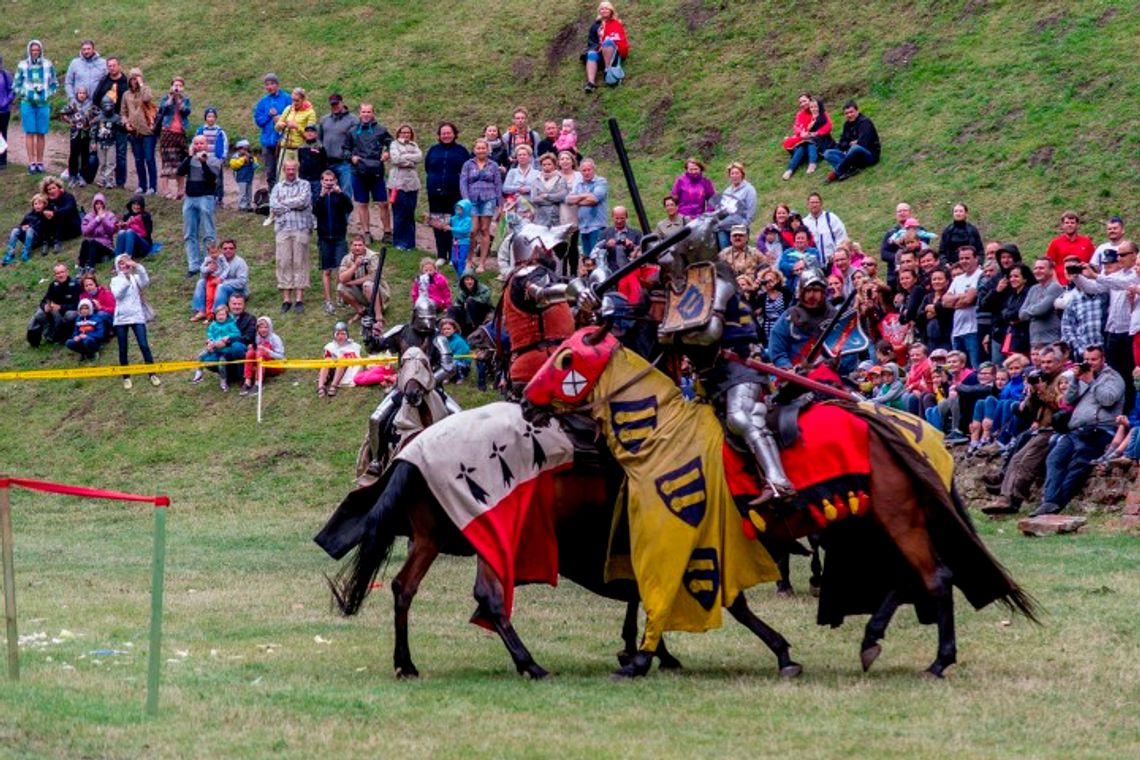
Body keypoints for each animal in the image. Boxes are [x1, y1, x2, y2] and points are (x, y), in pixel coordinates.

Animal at [316, 403, 807, 683]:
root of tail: (412, 452)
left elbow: (642, 593)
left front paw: (643, 649)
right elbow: (722, 598)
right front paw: (781, 650)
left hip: (432, 536)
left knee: (405, 588)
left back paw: (406, 663)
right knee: (489, 596)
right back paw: (529, 664)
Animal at [524, 325, 1044, 679]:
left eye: (566, 358)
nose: (526, 401)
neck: (659, 433)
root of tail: (891, 425)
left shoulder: (685, 538)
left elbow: (685, 597)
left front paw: (641, 658)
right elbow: (722, 602)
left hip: (896, 516)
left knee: (934, 577)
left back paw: (937, 661)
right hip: (875, 521)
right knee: (911, 576)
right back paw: (873, 639)